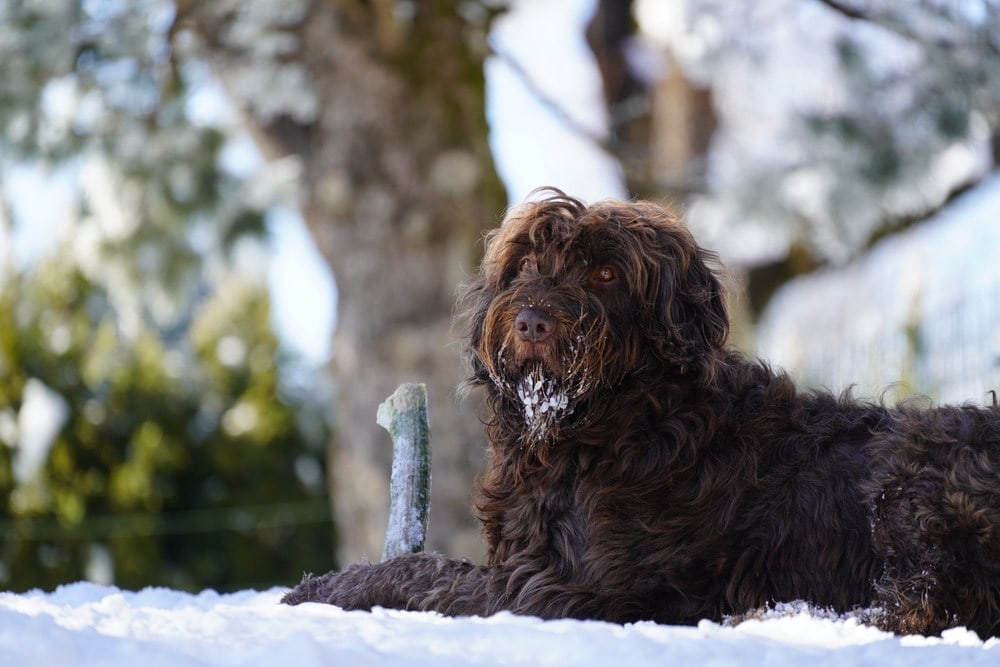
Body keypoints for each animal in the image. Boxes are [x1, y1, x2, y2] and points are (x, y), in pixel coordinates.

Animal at [282, 190, 1000, 640]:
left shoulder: (559, 593)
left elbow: (428, 571)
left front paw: (322, 588)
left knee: (919, 604)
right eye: (528, 262)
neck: (603, 427)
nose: (533, 320)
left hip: (912, 473)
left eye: (605, 272)